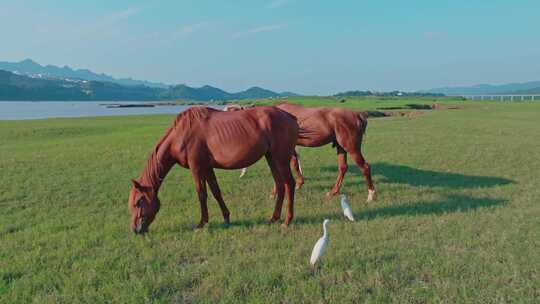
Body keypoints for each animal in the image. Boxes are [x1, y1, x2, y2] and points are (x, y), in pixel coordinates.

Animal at [130, 105, 300, 234]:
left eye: (138, 202)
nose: (135, 230)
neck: (181, 134)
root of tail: (290, 116)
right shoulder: (207, 167)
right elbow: (216, 192)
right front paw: (226, 218)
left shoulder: (197, 168)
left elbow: (202, 194)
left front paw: (202, 223)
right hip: (271, 158)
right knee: (280, 185)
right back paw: (274, 218)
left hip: (281, 159)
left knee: (289, 184)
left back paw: (287, 221)